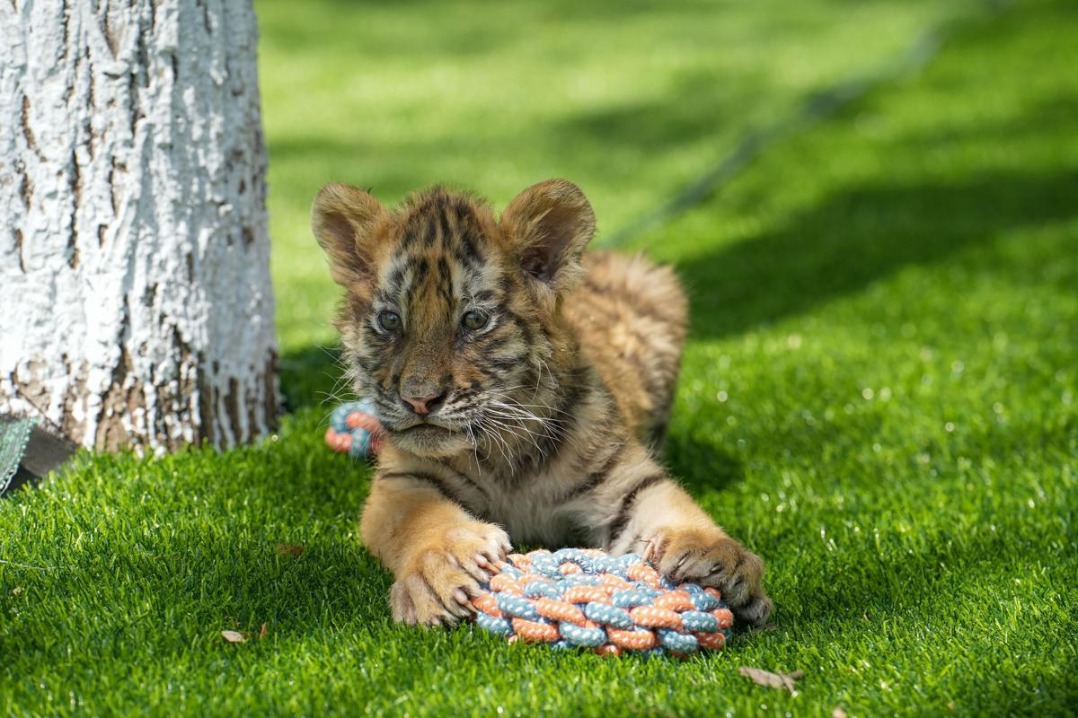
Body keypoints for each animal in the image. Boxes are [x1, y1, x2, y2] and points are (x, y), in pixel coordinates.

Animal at [312, 179, 772, 627]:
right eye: (390, 321)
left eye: (473, 320)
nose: (419, 400)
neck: (505, 450)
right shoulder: (403, 480)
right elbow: (418, 518)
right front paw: (441, 569)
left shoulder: (621, 477)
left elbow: (670, 504)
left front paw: (718, 557)